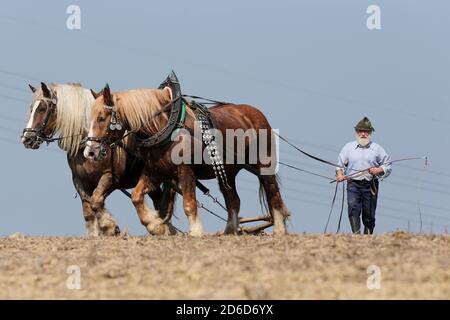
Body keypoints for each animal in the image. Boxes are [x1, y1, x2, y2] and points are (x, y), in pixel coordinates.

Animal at [22, 82, 178, 238]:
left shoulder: (110, 177)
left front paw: (109, 226)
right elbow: (88, 210)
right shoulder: (80, 181)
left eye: (42, 108)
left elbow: (96, 201)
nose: (26, 138)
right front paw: (94, 233)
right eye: (31, 108)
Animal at [83, 79, 288, 236]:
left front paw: (195, 232)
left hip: (263, 164)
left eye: (101, 117)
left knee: (273, 193)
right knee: (233, 200)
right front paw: (155, 225)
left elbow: (189, 204)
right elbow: (136, 196)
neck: (165, 128)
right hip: (227, 172)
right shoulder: (154, 172)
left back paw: (279, 230)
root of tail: (254, 113)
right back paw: (230, 231)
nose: (90, 151)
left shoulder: (186, 171)